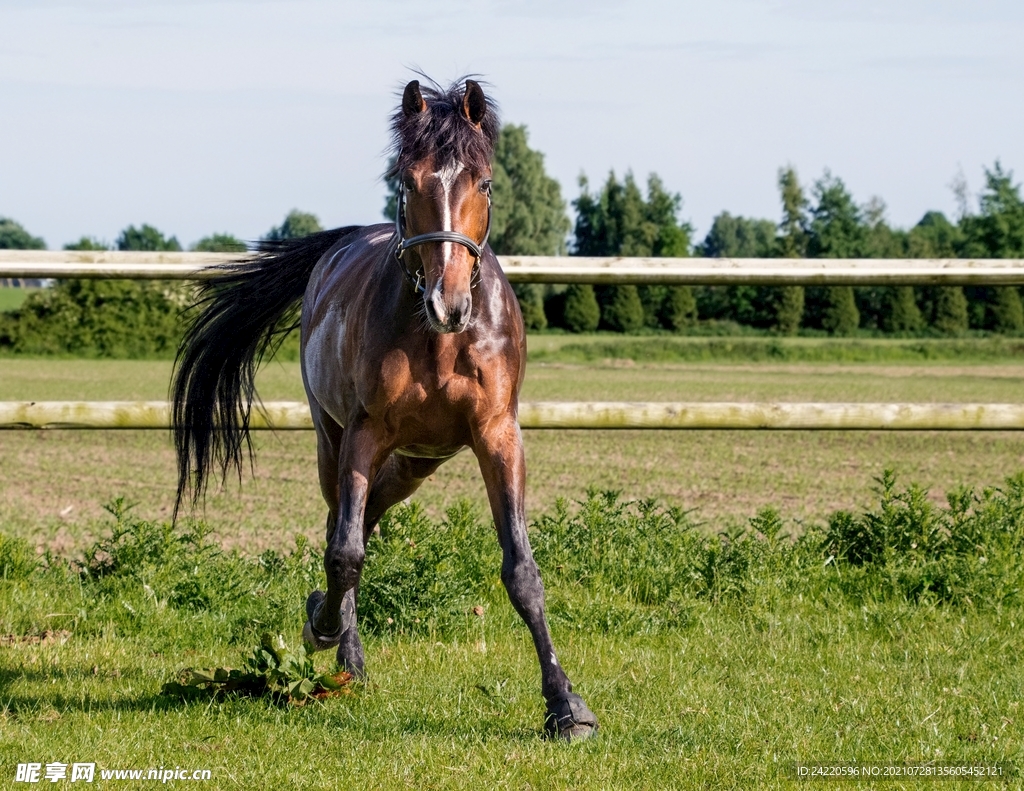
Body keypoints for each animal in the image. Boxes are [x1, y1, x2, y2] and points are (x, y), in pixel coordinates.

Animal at [171, 77, 598, 740]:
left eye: (484, 183)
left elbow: (522, 572)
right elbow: (345, 553)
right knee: (344, 527)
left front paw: (566, 706)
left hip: (420, 460)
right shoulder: (364, 434)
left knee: (369, 513)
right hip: (335, 441)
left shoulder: (497, 435)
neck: (440, 340)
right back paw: (339, 645)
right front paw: (322, 628)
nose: (448, 302)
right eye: (408, 181)